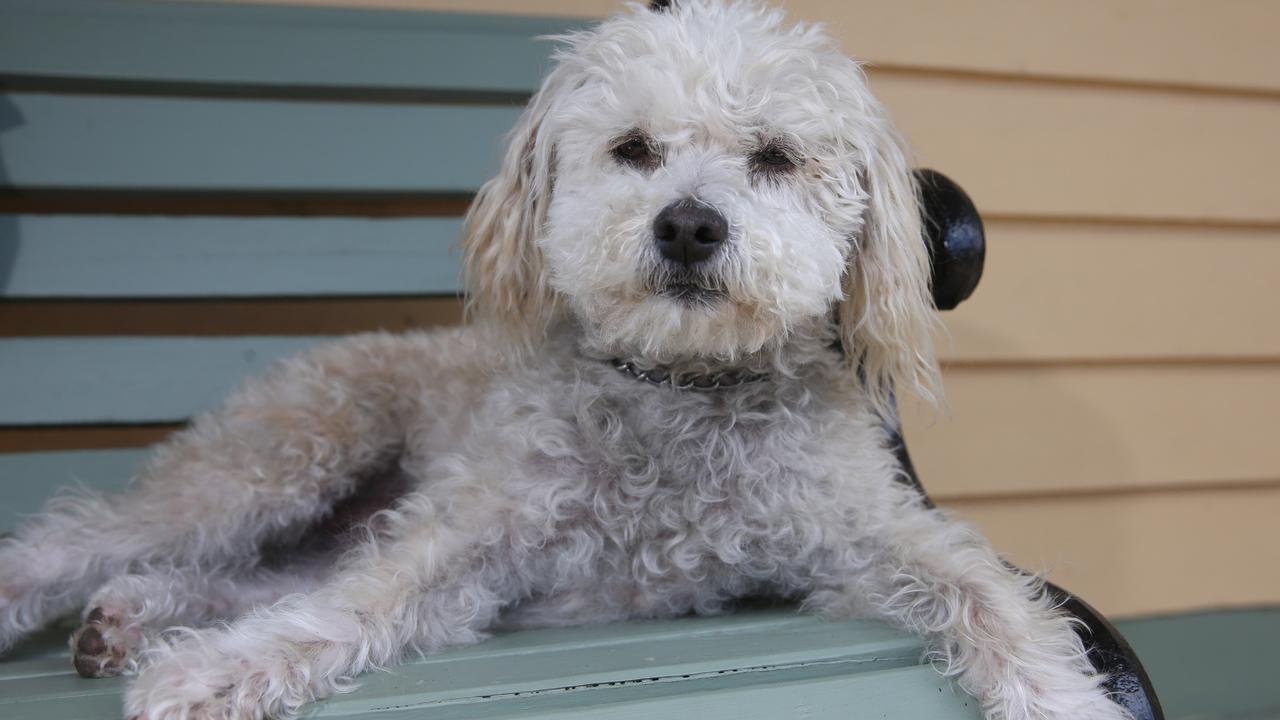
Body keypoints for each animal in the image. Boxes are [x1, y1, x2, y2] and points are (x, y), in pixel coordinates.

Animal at [0, 1, 1131, 717]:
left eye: (774, 156)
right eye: (633, 149)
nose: (687, 226)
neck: (677, 395)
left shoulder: (860, 539)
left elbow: (986, 593)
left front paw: (1061, 700)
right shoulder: (467, 536)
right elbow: (352, 606)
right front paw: (217, 676)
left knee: (254, 573)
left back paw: (130, 618)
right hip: (284, 458)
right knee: (98, 537)